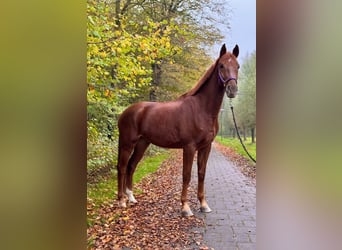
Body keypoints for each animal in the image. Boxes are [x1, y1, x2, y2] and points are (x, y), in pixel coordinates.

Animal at [116, 44, 239, 216]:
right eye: (221, 65)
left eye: (237, 66)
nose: (232, 89)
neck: (201, 109)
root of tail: (125, 112)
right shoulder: (189, 147)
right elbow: (186, 175)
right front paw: (185, 208)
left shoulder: (206, 147)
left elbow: (201, 173)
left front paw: (203, 205)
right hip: (127, 143)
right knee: (121, 167)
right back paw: (121, 201)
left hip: (142, 143)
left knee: (131, 166)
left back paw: (131, 198)